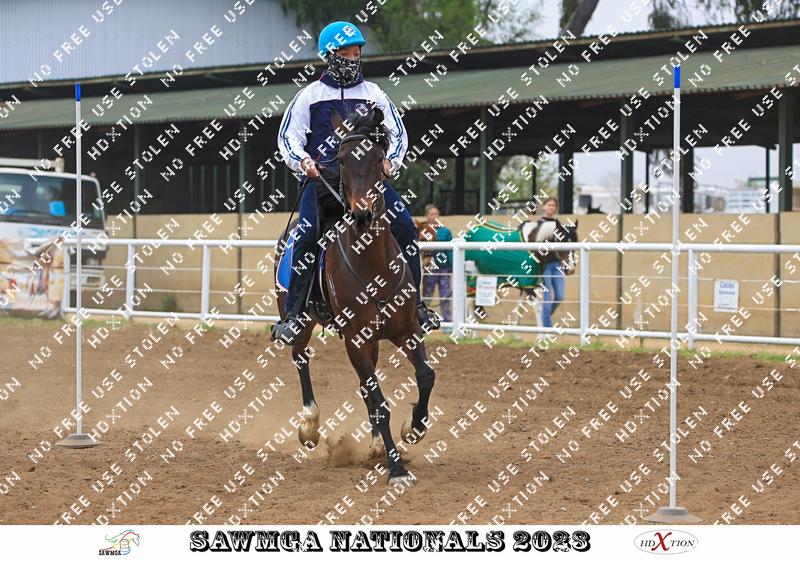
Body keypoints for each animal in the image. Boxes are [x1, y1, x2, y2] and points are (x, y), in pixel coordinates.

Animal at [272, 105, 434, 486]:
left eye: (378, 157)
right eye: (343, 159)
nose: (363, 213)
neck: (372, 263)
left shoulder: (407, 331)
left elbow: (425, 376)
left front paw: (413, 429)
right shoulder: (356, 340)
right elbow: (380, 403)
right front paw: (397, 468)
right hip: (300, 323)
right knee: (301, 358)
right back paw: (309, 427)